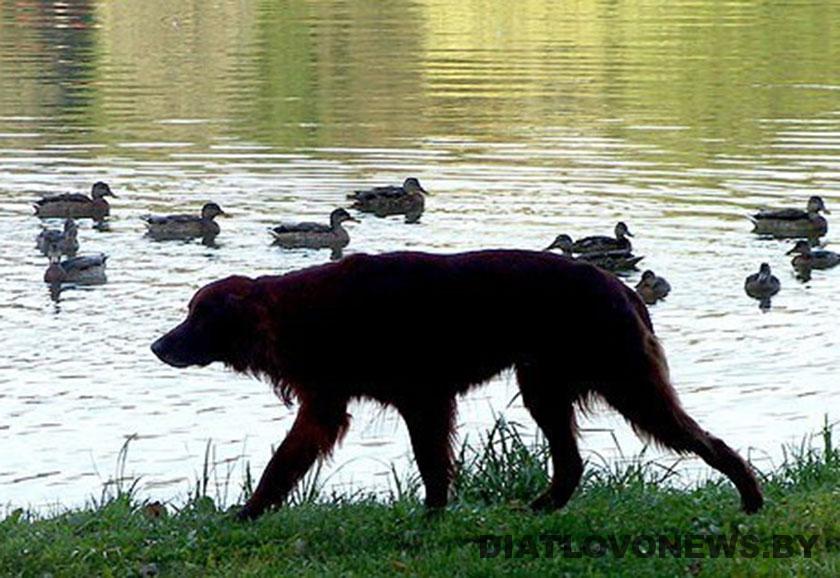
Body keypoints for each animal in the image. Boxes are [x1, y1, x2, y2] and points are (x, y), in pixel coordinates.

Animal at [151, 249, 760, 516]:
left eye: (198, 316)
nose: (158, 346)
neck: (302, 311)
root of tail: (620, 285)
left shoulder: (421, 398)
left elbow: (430, 464)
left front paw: (432, 516)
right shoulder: (328, 406)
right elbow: (283, 465)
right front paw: (251, 512)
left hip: (625, 380)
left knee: (704, 440)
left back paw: (751, 495)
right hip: (545, 386)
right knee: (571, 462)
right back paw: (544, 505)